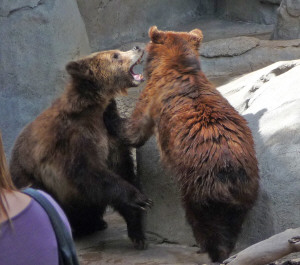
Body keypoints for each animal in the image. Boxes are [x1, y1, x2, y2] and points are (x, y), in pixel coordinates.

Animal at [118, 27, 260, 262]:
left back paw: (210, 251)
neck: (179, 67)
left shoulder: (152, 96)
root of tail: (229, 169)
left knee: (203, 222)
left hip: (199, 185)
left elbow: (136, 129)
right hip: (246, 189)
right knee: (233, 224)